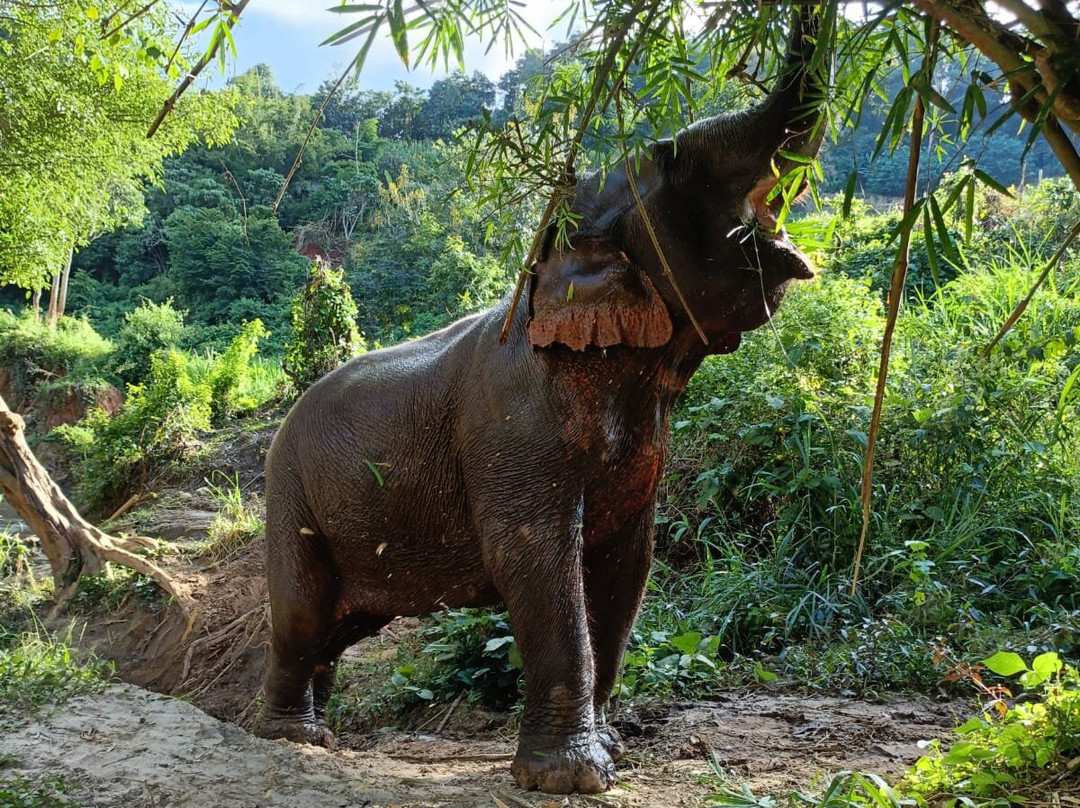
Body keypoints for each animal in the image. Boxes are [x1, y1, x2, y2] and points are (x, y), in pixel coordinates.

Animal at [255, 10, 828, 795]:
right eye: (674, 156)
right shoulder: (514, 429)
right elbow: (536, 559)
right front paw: (573, 778)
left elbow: (627, 563)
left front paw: (611, 752)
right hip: (290, 495)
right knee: (302, 615)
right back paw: (293, 738)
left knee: (339, 629)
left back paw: (313, 730)